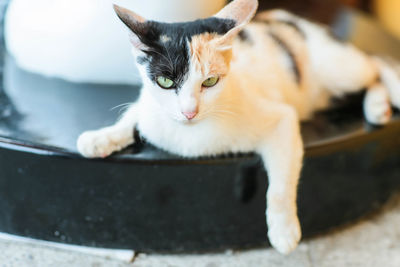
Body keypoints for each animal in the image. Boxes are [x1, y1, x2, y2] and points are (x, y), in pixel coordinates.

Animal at [76, 0, 400, 255]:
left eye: (210, 82)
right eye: (165, 82)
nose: (189, 111)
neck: (189, 135)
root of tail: (293, 18)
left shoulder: (281, 119)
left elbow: (280, 185)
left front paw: (283, 230)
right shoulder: (149, 107)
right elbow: (133, 115)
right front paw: (100, 138)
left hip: (339, 69)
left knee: (377, 63)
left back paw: (380, 102)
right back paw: (377, 106)